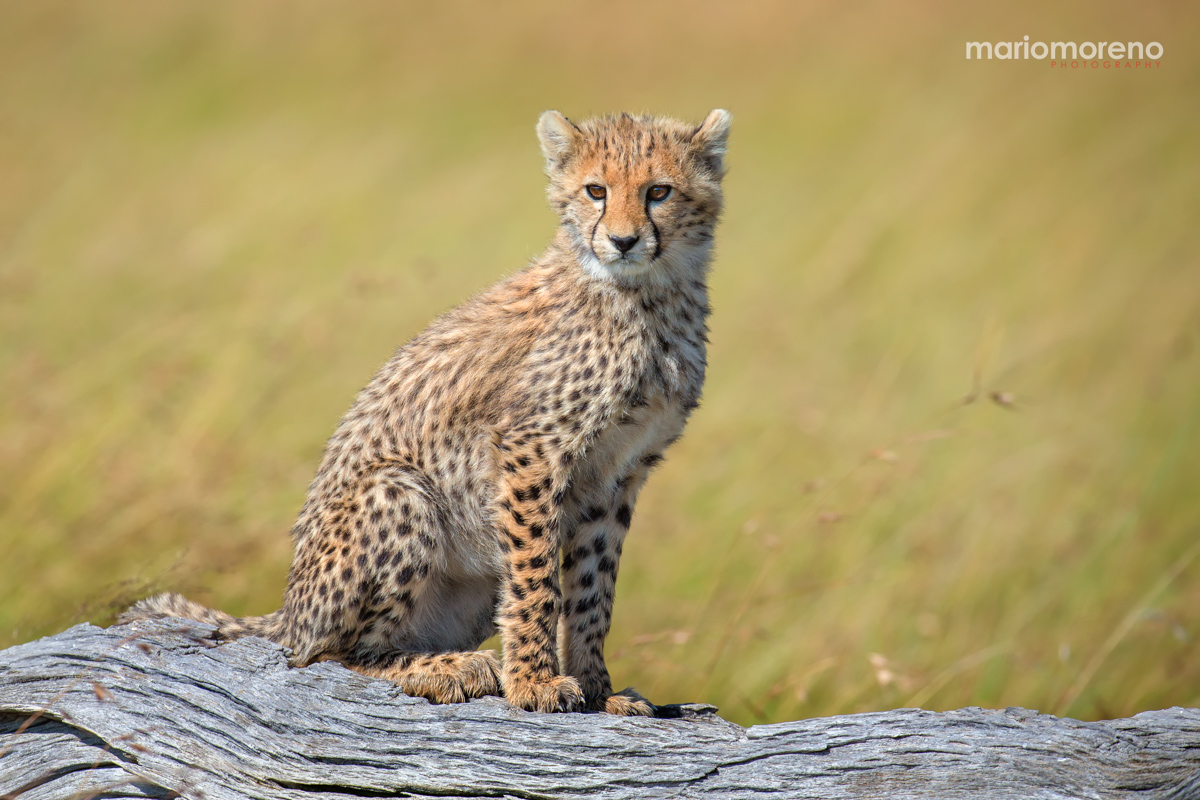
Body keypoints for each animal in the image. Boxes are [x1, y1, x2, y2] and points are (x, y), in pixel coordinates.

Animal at [120, 108, 731, 716]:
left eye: (658, 191)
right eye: (596, 191)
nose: (624, 241)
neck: (650, 294)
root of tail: (289, 612)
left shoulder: (619, 474)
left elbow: (592, 589)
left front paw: (599, 690)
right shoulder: (532, 448)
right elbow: (537, 580)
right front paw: (534, 683)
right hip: (397, 491)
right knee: (333, 656)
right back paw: (448, 669)